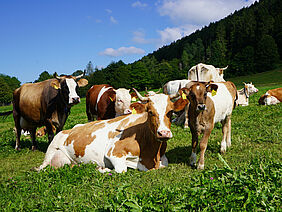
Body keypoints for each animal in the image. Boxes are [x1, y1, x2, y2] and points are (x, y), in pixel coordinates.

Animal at [35, 89, 189, 172]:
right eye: (150, 112)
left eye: (170, 112)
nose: (163, 133)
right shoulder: (113, 152)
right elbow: (121, 170)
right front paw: (102, 169)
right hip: (51, 150)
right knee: (41, 167)